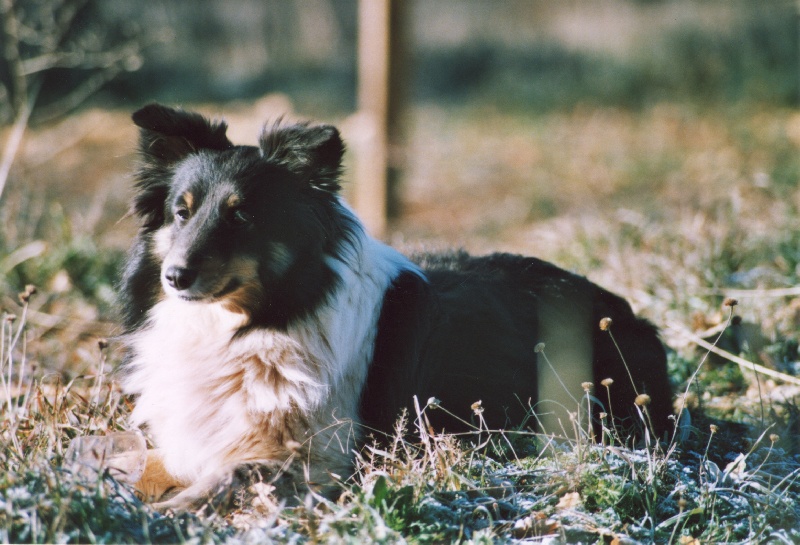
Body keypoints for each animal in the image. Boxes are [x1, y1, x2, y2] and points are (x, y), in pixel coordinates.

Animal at [117, 104, 668, 512]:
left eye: (243, 216)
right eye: (181, 212)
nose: (175, 277)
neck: (257, 323)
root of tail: (623, 309)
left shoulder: (323, 457)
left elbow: (230, 474)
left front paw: (168, 510)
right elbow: (139, 460)